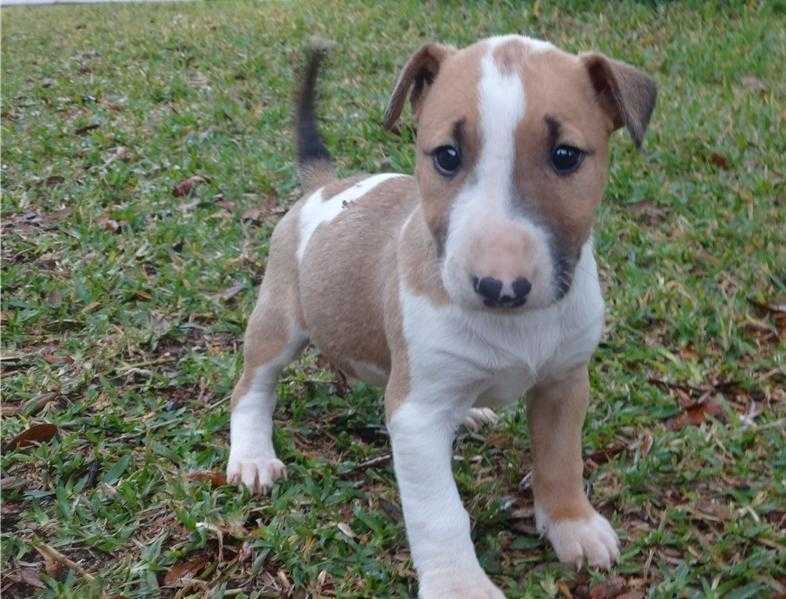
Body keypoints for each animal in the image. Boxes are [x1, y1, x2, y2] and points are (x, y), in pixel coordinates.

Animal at [225, 34, 656, 599]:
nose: (500, 287)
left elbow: (562, 459)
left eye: (566, 156)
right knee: (252, 386)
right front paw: (460, 585)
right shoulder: (416, 417)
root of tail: (326, 185)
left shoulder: (564, 382)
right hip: (279, 320)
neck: (516, 327)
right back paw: (251, 456)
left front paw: (573, 525)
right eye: (446, 156)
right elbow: (439, 513)